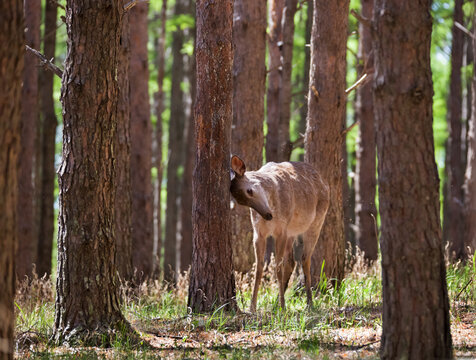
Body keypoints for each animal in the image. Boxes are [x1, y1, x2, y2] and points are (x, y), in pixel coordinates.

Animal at [230, 155, 328, 312]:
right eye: (242, 202)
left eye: (249, 191)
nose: (268, 215)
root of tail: (324, 182)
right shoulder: (258, 232)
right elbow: (259, 268)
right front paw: (252, 307)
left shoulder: (281, 230)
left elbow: (278, 268)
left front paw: (283, 307)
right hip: (292, 231)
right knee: (291, 261)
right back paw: (277, 302)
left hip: (316, 222)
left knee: (305, 258)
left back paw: (309, 303)